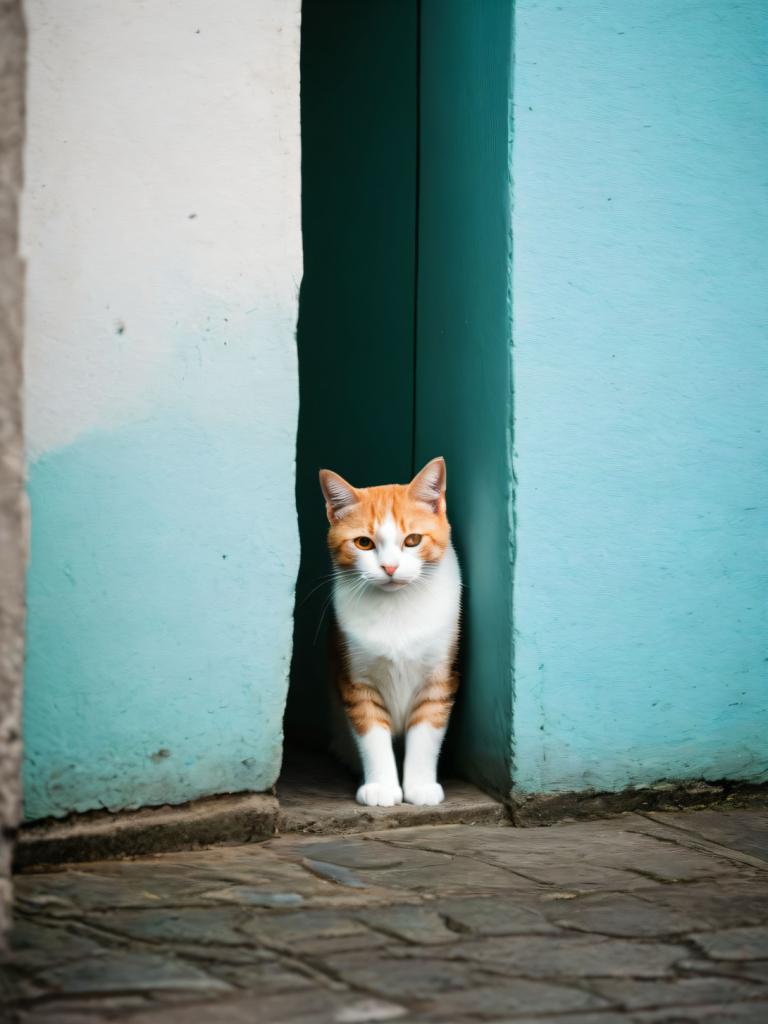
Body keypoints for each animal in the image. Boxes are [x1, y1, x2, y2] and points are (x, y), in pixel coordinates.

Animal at [319, 458, 462, 806]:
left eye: (412, 540)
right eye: (363, 543)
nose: (390, 567)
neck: (397, 607)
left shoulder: (439, 678)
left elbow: (426, 733)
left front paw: (420, 786)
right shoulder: (356, 682)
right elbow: (371, 735)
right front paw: (381, 786)